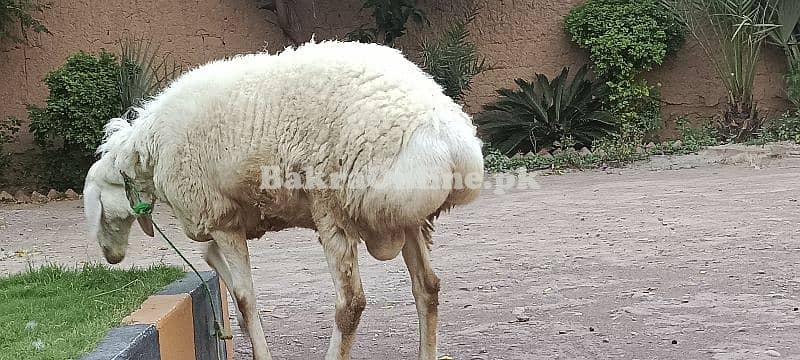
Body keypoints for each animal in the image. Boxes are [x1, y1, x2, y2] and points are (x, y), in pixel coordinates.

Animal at [83, 39, 482, 360]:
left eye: (100, 210)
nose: (110, 257)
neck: (150, 151)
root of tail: (453, 143)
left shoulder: (221, 219)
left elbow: (245, 297)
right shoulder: (238, 218)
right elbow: (214, 263)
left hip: (333, 208)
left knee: (351, 302)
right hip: (408, 220)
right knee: (428, 287)